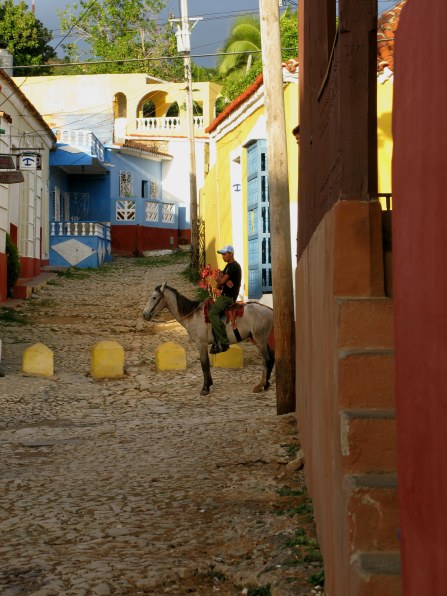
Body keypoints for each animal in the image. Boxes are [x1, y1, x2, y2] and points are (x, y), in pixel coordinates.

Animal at [144, 282, 276, 396]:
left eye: (154, 297)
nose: (145, 315)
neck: (193, 316)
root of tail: (270, 310)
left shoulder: (201, 343)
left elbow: (204, 364)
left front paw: (205, 388)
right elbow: (205, 364)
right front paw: (209, 384)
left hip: (260, 340)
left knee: (266, 360)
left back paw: (261, 385)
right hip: (261, 340)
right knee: (270, 359)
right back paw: (265, 384)